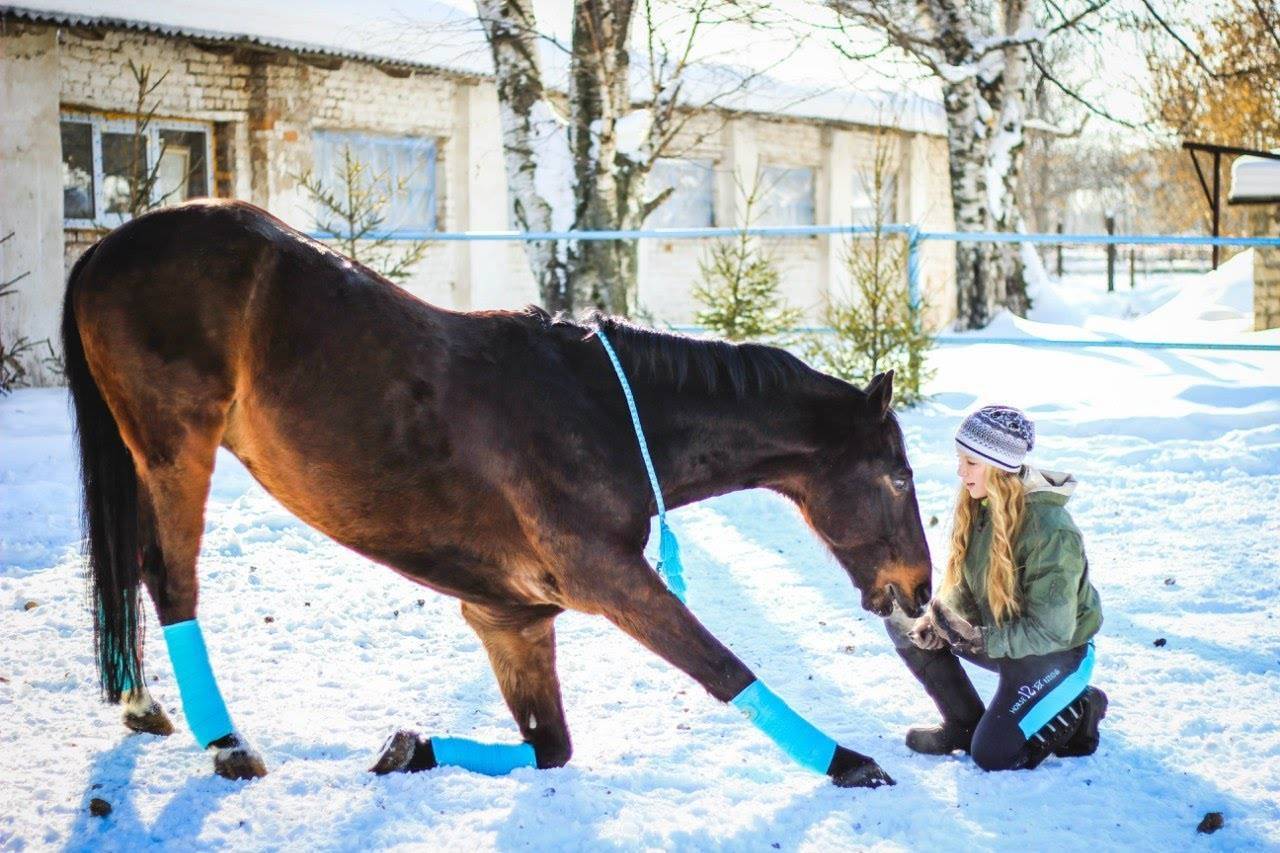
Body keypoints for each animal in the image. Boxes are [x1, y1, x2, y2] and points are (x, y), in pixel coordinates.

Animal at [60, 197, 936, 783]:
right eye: (898, 475)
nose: (922, 590)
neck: (601, 413)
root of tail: (106, 251)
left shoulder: (511, 615)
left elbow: (550, 747)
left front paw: (409, 748)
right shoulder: (608, 578)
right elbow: (721, 668)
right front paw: (847, 760)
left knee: (133, 566)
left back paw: (144, 704)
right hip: (176, 447)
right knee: (170, 577)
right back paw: (228, 743)